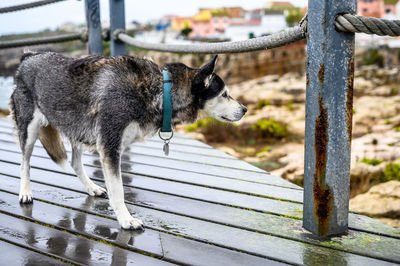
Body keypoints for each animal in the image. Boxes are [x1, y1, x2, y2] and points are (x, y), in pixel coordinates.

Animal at [10, 51, 247, 229]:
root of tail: (28, 56)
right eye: (224, 94)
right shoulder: (109, 146)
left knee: (75, 163)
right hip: (30, 129)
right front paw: (126, 220)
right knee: (24, 163)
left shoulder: (110, 146)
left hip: (79, 129)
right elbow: (119, 190)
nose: (245, 109)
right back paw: (25, 192)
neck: (161, 90)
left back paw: (91, 188)